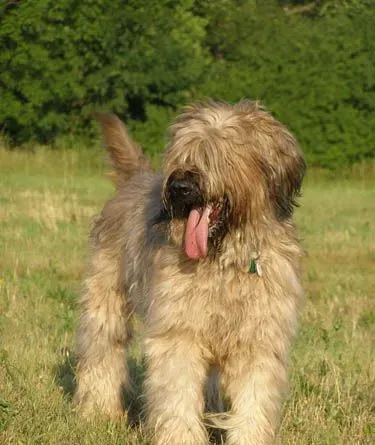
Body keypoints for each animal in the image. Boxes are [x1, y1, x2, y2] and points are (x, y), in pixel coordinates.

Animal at [73, 100, 306, 444]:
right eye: (183, 155)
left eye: (219, 154)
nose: (180, 186)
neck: (224, 260)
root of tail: (135, 178)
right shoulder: (179, 333)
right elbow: (178, 395)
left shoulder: (259, 339)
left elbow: (253, 402)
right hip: (106, 297)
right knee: (103, 349)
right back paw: (98, 412)